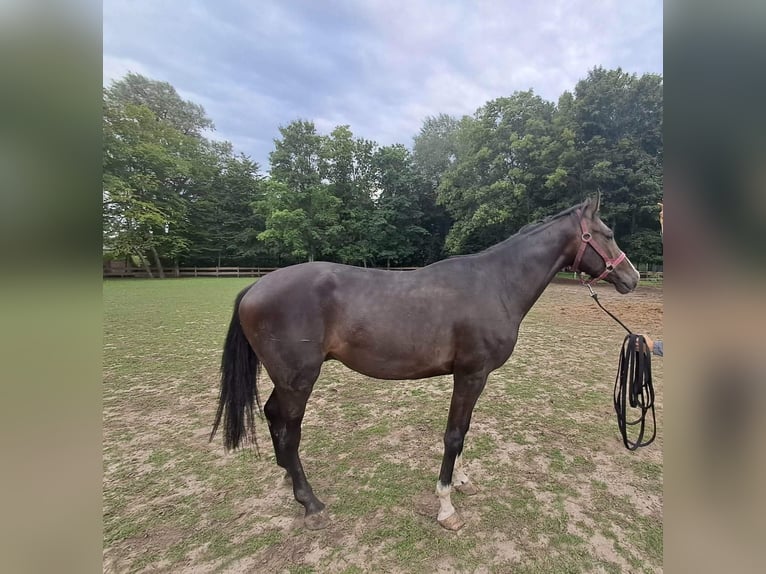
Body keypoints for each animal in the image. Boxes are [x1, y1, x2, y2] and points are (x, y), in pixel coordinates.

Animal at [210, 194, 640, 531]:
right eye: (607, 233)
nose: (632, 278)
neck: (496, 283)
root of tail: (255, 285)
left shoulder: (472, 378)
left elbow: (464, 429)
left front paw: (462, 480)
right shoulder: (471, 375)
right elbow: (454, 435)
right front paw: (446, 507)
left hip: (286, 380)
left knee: (273, 417)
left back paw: (289, 480)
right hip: (298, 380)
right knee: (289, 431)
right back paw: (310, 504)